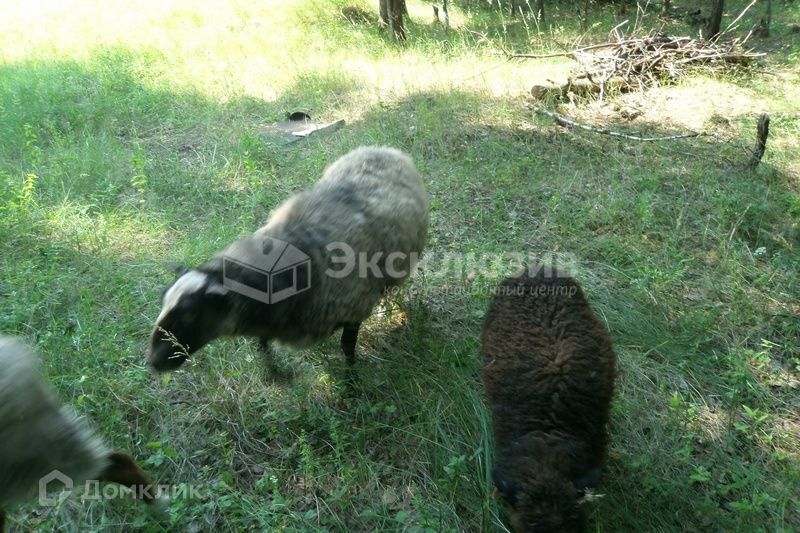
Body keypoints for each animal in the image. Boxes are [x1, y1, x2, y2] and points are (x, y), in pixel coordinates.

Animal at [148, 143, 428, 372]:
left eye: (190, 315)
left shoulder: (353, 310)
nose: (153, 362)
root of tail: (383, 149)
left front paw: (351, 383)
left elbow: (347, 348)